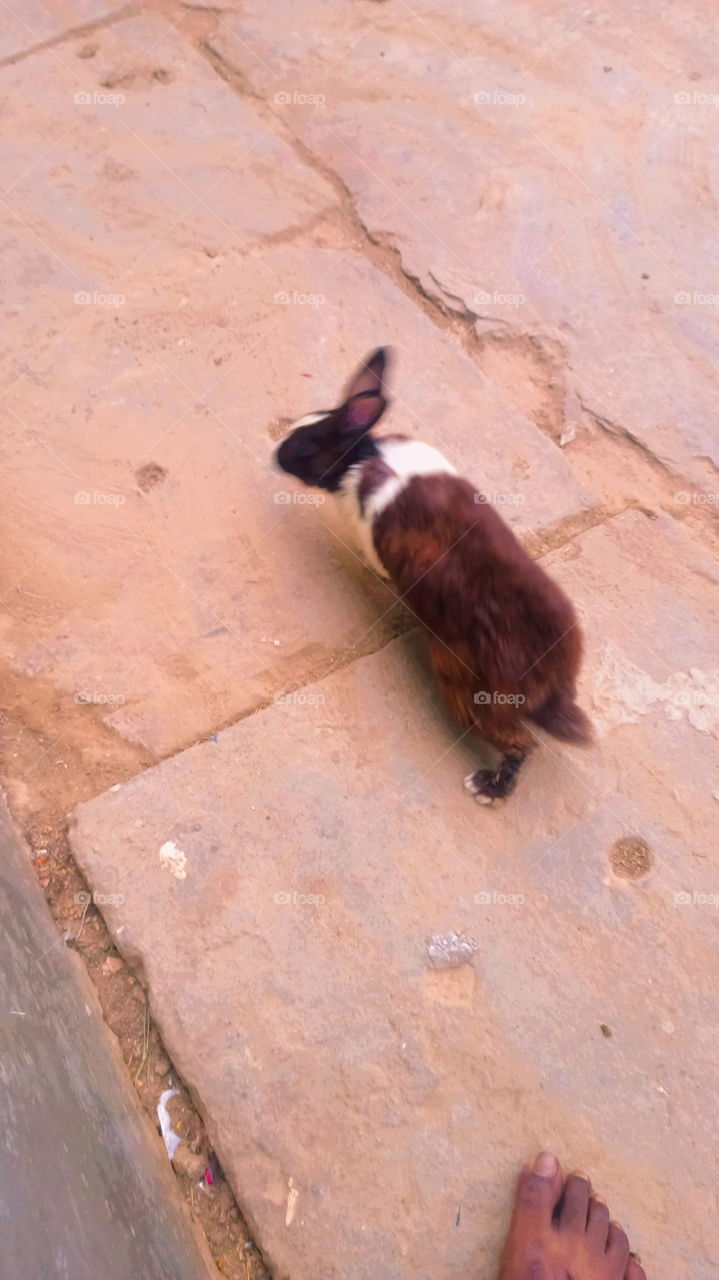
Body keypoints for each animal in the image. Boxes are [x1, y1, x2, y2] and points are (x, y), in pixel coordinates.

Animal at [275, 348, 592, 802]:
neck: (362, 458)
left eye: (302, 445)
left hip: (470, 691)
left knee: (519, 743)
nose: (275, 454)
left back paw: (487, 788)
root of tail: (552, 685)